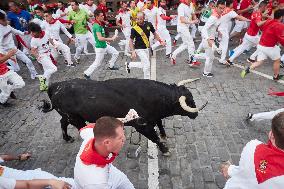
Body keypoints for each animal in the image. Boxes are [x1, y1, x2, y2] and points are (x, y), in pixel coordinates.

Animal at [41, 78, 206, 155]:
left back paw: (67, 138)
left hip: (69, 116)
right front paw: (165, 150)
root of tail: (56, 86)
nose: (196, 114)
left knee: (62, 122)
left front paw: (164, 137)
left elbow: (160, 124)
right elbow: (155, 138)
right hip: (76, 119)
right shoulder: (142, 126)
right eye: (189, 101)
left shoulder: (153, 118)